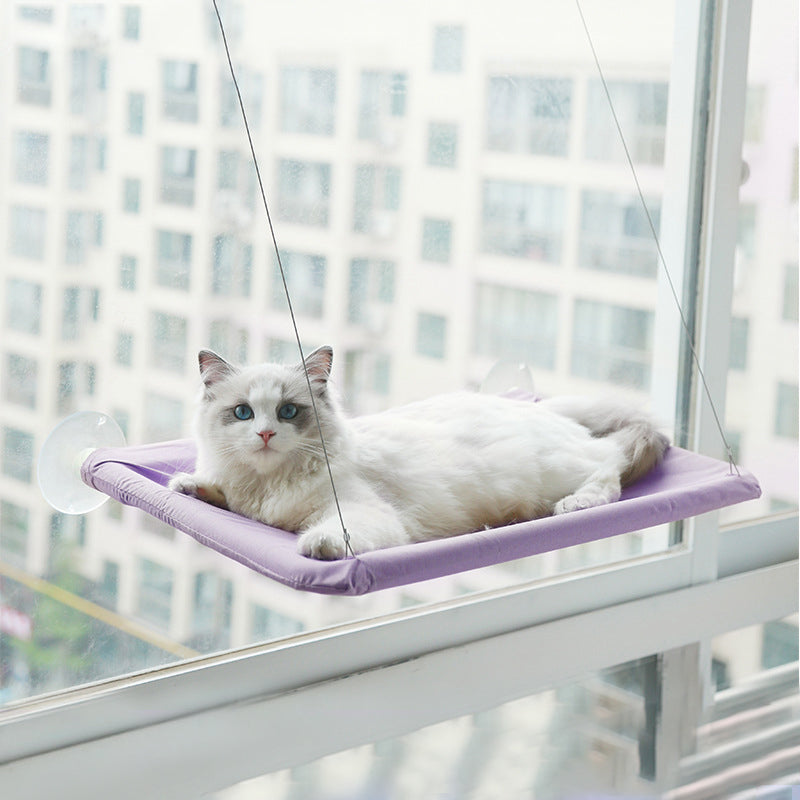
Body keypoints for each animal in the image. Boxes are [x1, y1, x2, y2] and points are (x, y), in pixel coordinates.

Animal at [169, 346, 668, 560]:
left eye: (288, 411)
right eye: (243, 412)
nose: (267, 434)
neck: (268, 485)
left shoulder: (363, 513)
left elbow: (332, 533)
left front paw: (318, 545)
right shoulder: (244, 498)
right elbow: (220, 493)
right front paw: (189, 486)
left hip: (557, 470)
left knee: (609, 468)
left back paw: (576, 504)